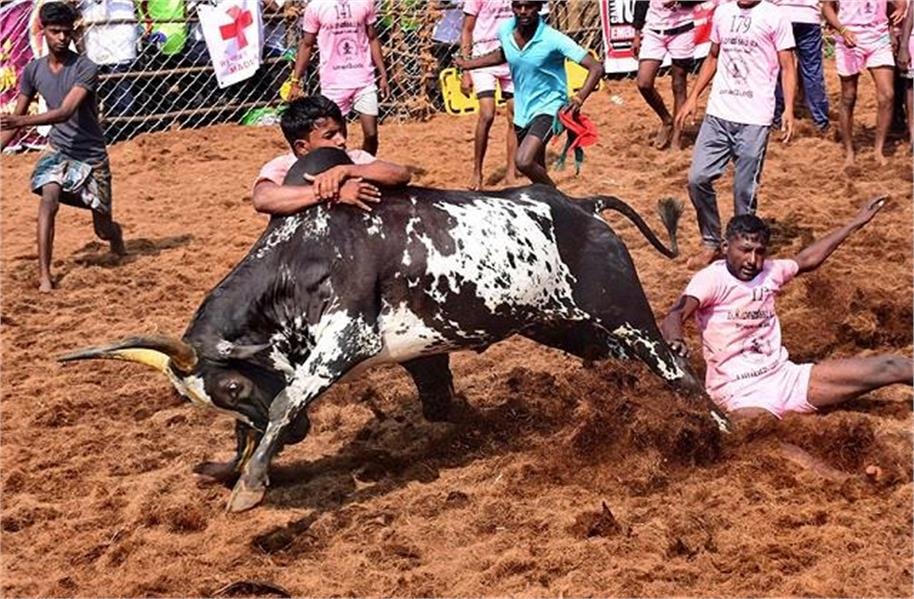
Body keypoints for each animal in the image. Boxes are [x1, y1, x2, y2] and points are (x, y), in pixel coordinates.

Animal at [58, 145, 728, 510]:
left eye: (229, 385)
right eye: (215, 397)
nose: (298, 437)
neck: (303, 254)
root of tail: (581, 206)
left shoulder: (344, 341)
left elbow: (284, 402)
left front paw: (247, 488)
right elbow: (256, 427)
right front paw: (233, 467)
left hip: (621, 311)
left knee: (677, 368)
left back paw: (722, 429)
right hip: (566, 326)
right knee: (643, 361)